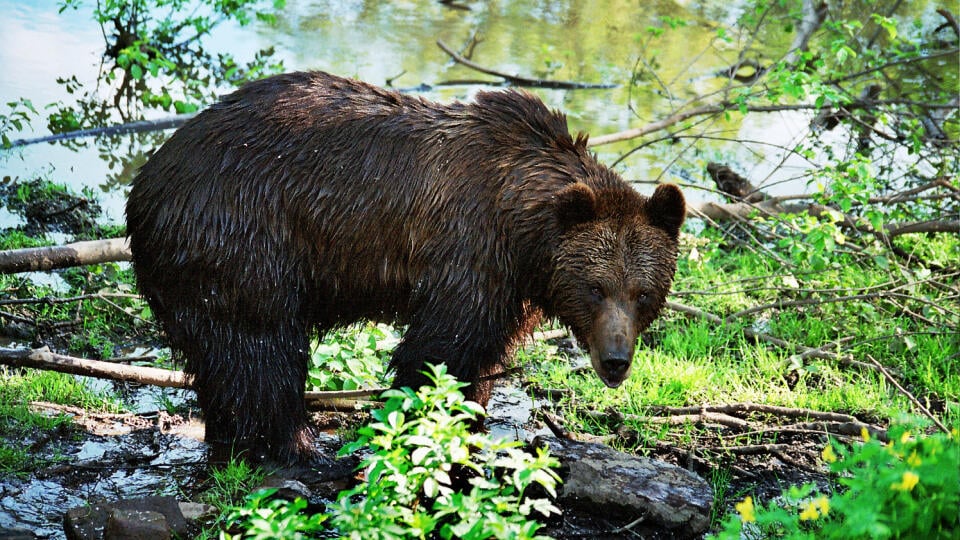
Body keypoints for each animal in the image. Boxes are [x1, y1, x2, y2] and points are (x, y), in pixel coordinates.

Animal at [125, 71, 684, 466]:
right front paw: (424, 427)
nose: (615, 360)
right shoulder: (469, 252)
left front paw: (470, 424)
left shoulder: (510, 284)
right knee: (262, 348)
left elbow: (482, 356)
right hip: (239, 236)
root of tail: (145, 185)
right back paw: (298, 447)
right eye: (595, 288)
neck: (522, 224)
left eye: (642, 293)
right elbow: (438, 351)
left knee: (221, 358)